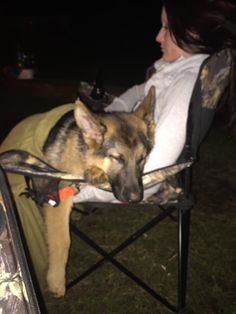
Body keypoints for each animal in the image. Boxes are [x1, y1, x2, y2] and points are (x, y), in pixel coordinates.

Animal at [1, 86, 157, 296]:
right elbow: (62, 240)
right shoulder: (57, 198)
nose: (136, 199)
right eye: (118, 158)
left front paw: (95, 172)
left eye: (142, 158)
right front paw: (56, 281)